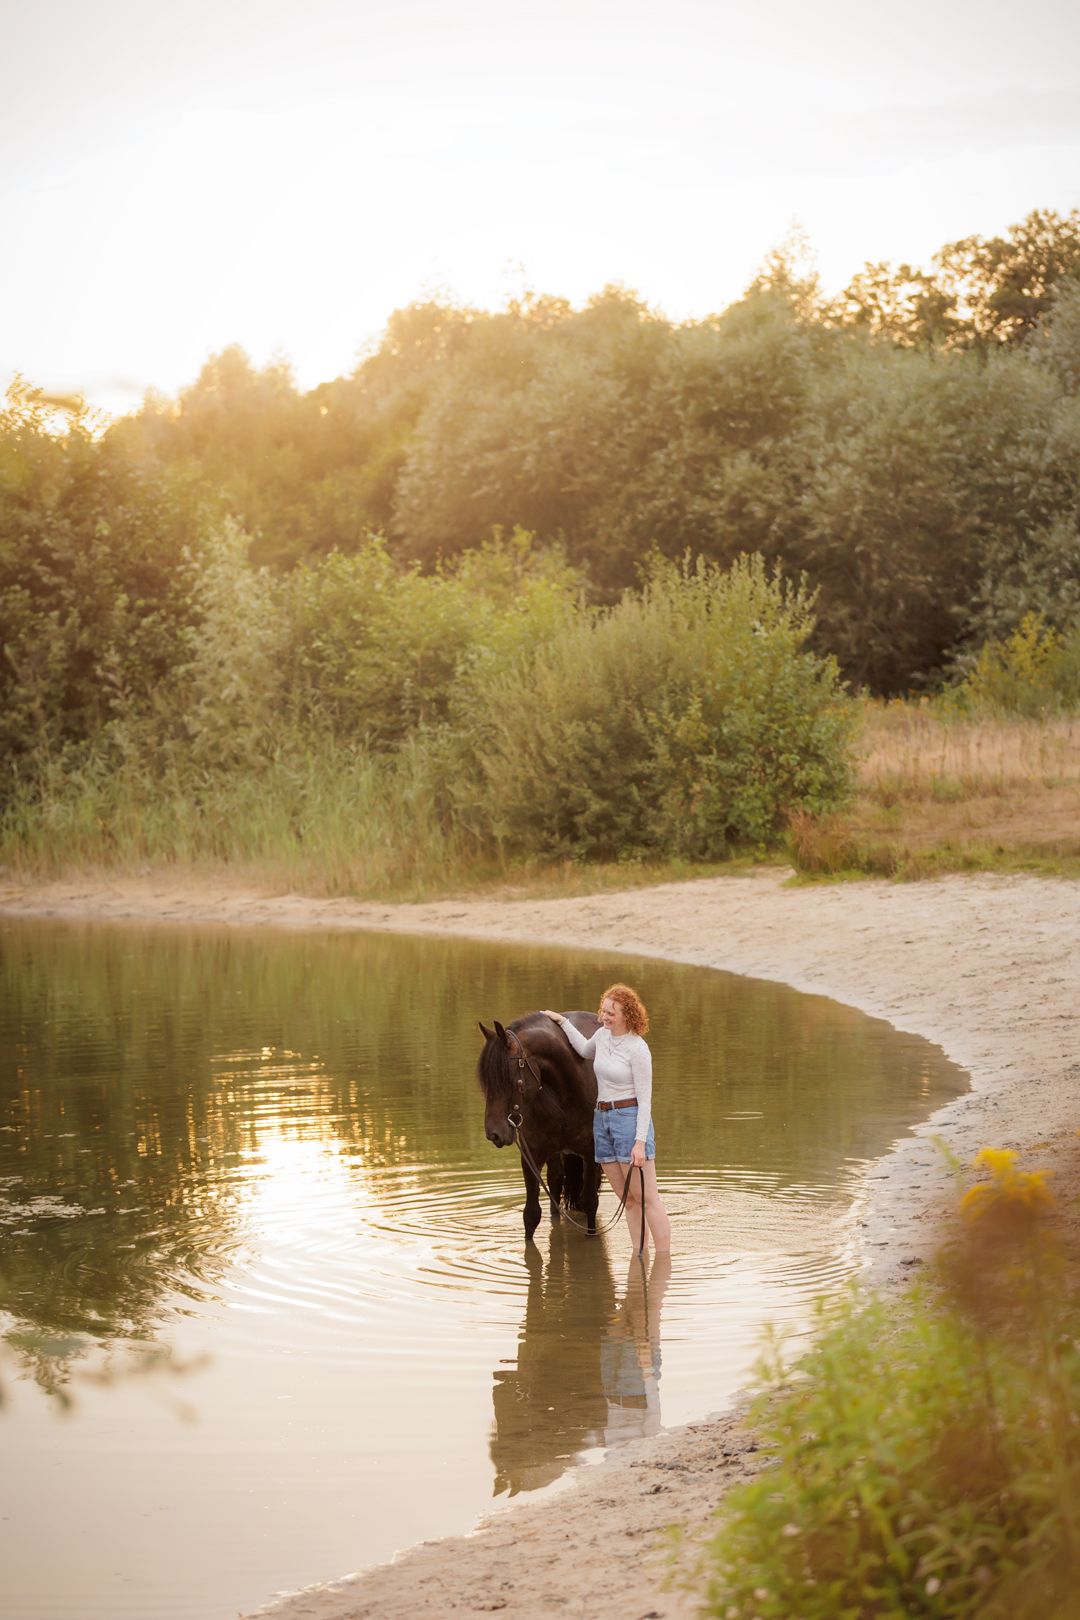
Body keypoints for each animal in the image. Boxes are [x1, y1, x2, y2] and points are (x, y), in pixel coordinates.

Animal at [477, 1011, 602, 1242]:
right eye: (486, 1081)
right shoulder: (532, 1154)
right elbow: (531, 1214)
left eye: (510, 1080)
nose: (494, 1134)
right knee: (555, 1184)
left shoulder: (591, 1153)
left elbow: (590, 1202)